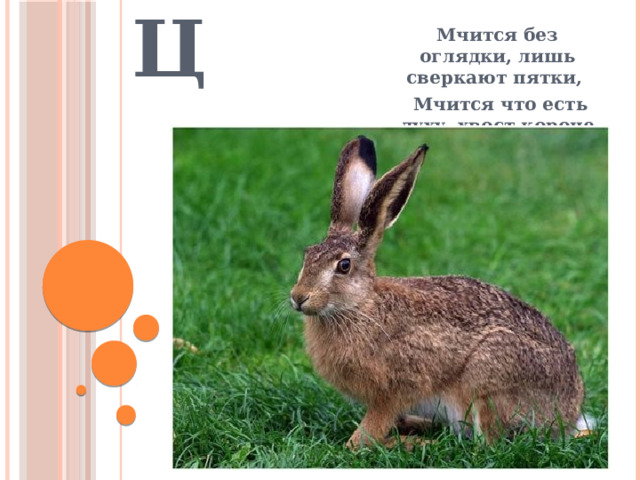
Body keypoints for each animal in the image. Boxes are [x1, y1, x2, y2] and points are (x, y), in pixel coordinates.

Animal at [289, 136, 585, 450]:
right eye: (307, 254)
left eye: (343, 266)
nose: (298, 297)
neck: (360, 306)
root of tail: (570, 412)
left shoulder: (395, 390)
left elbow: (365, 437)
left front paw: (370, 442)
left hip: (489, 379)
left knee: (485, 444)